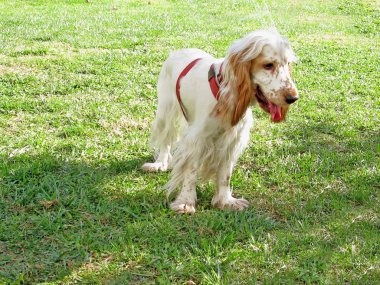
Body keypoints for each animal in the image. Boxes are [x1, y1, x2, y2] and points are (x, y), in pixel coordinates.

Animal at [141, 30, 298, 213]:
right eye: (268, 65)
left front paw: (225, 201)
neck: (225, 93)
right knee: (166, 139)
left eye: (288, 64)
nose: (293, 98)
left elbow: (225, 174)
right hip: (166, 110)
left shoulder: (231, 140)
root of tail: (179, 50)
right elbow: (190, 170)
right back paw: (160, 163)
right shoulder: (197, 139)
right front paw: (186, 202)